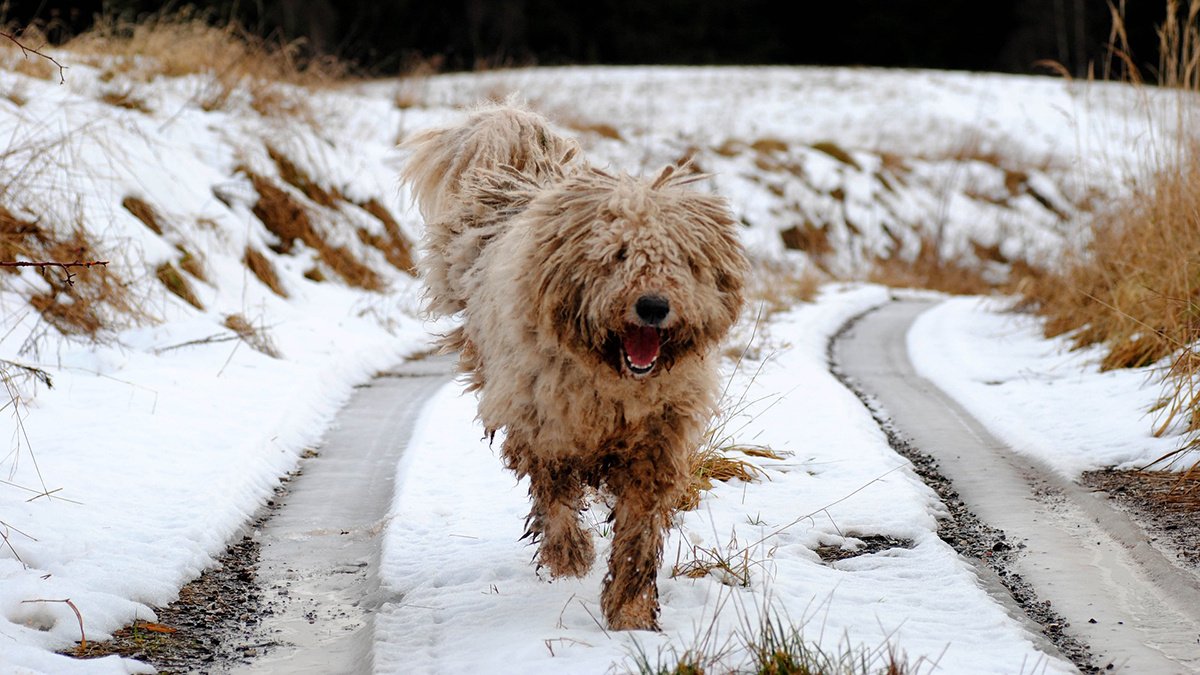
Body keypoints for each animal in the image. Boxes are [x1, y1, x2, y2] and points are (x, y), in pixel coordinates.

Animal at [398, 102, 744, 629]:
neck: (614, 380)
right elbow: (555, 495)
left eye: (681, 260)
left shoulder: (657, 441)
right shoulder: (545, 425)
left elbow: (639, 533)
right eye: (618, 255)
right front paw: (570, 556)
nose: (653, 306)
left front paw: (631, 612)